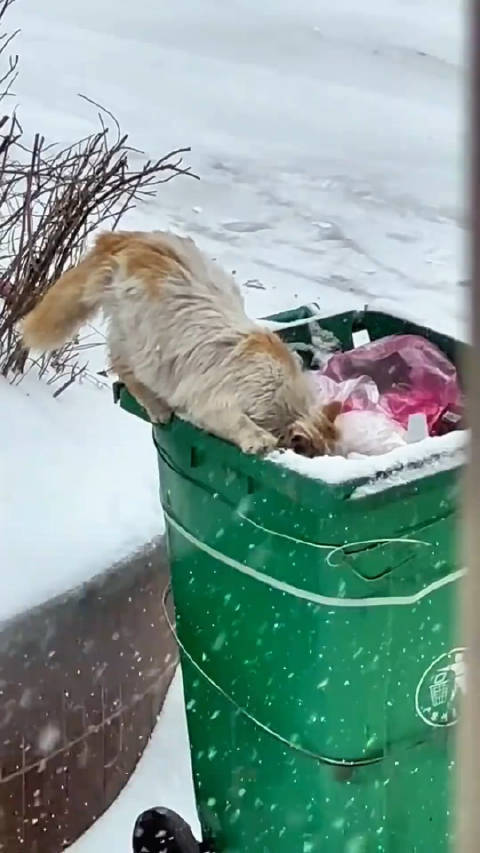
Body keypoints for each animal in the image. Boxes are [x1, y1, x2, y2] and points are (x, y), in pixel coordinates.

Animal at [21, 226, 338, 452]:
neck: (283, 400)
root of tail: (124, 238)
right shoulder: (214, 402)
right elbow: (239, 423)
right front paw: (259, 442)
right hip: (144, 342)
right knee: (122, 366)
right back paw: (159, 408)